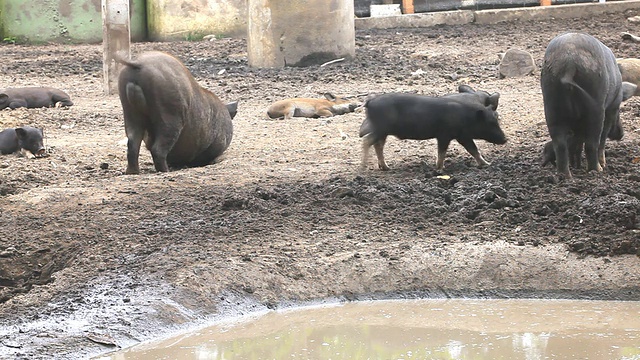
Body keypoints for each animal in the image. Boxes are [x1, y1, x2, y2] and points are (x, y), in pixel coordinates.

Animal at [360, 93, 504, 172]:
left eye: (496, 120)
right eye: (490, 123)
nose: (505, 139)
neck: (466, 117)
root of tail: (370, 102)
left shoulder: (463, 136)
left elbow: (473, 149)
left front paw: (487, 164)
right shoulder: (444, 135)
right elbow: (442, 152)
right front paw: (439, 169)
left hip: (382, 132)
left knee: (378, 145)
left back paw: (386, 167)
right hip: (381, 128)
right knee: (367, 141)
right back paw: (364, 166)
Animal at [540, 32, 632, 179]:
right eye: (620, 112)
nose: (621, 134)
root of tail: (569, 63)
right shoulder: (612, 108)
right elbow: (602, 137)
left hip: (551, 103)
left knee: (559, 144)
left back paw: (565, 176)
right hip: (596, 104)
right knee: (593, 142)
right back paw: (597, 170)